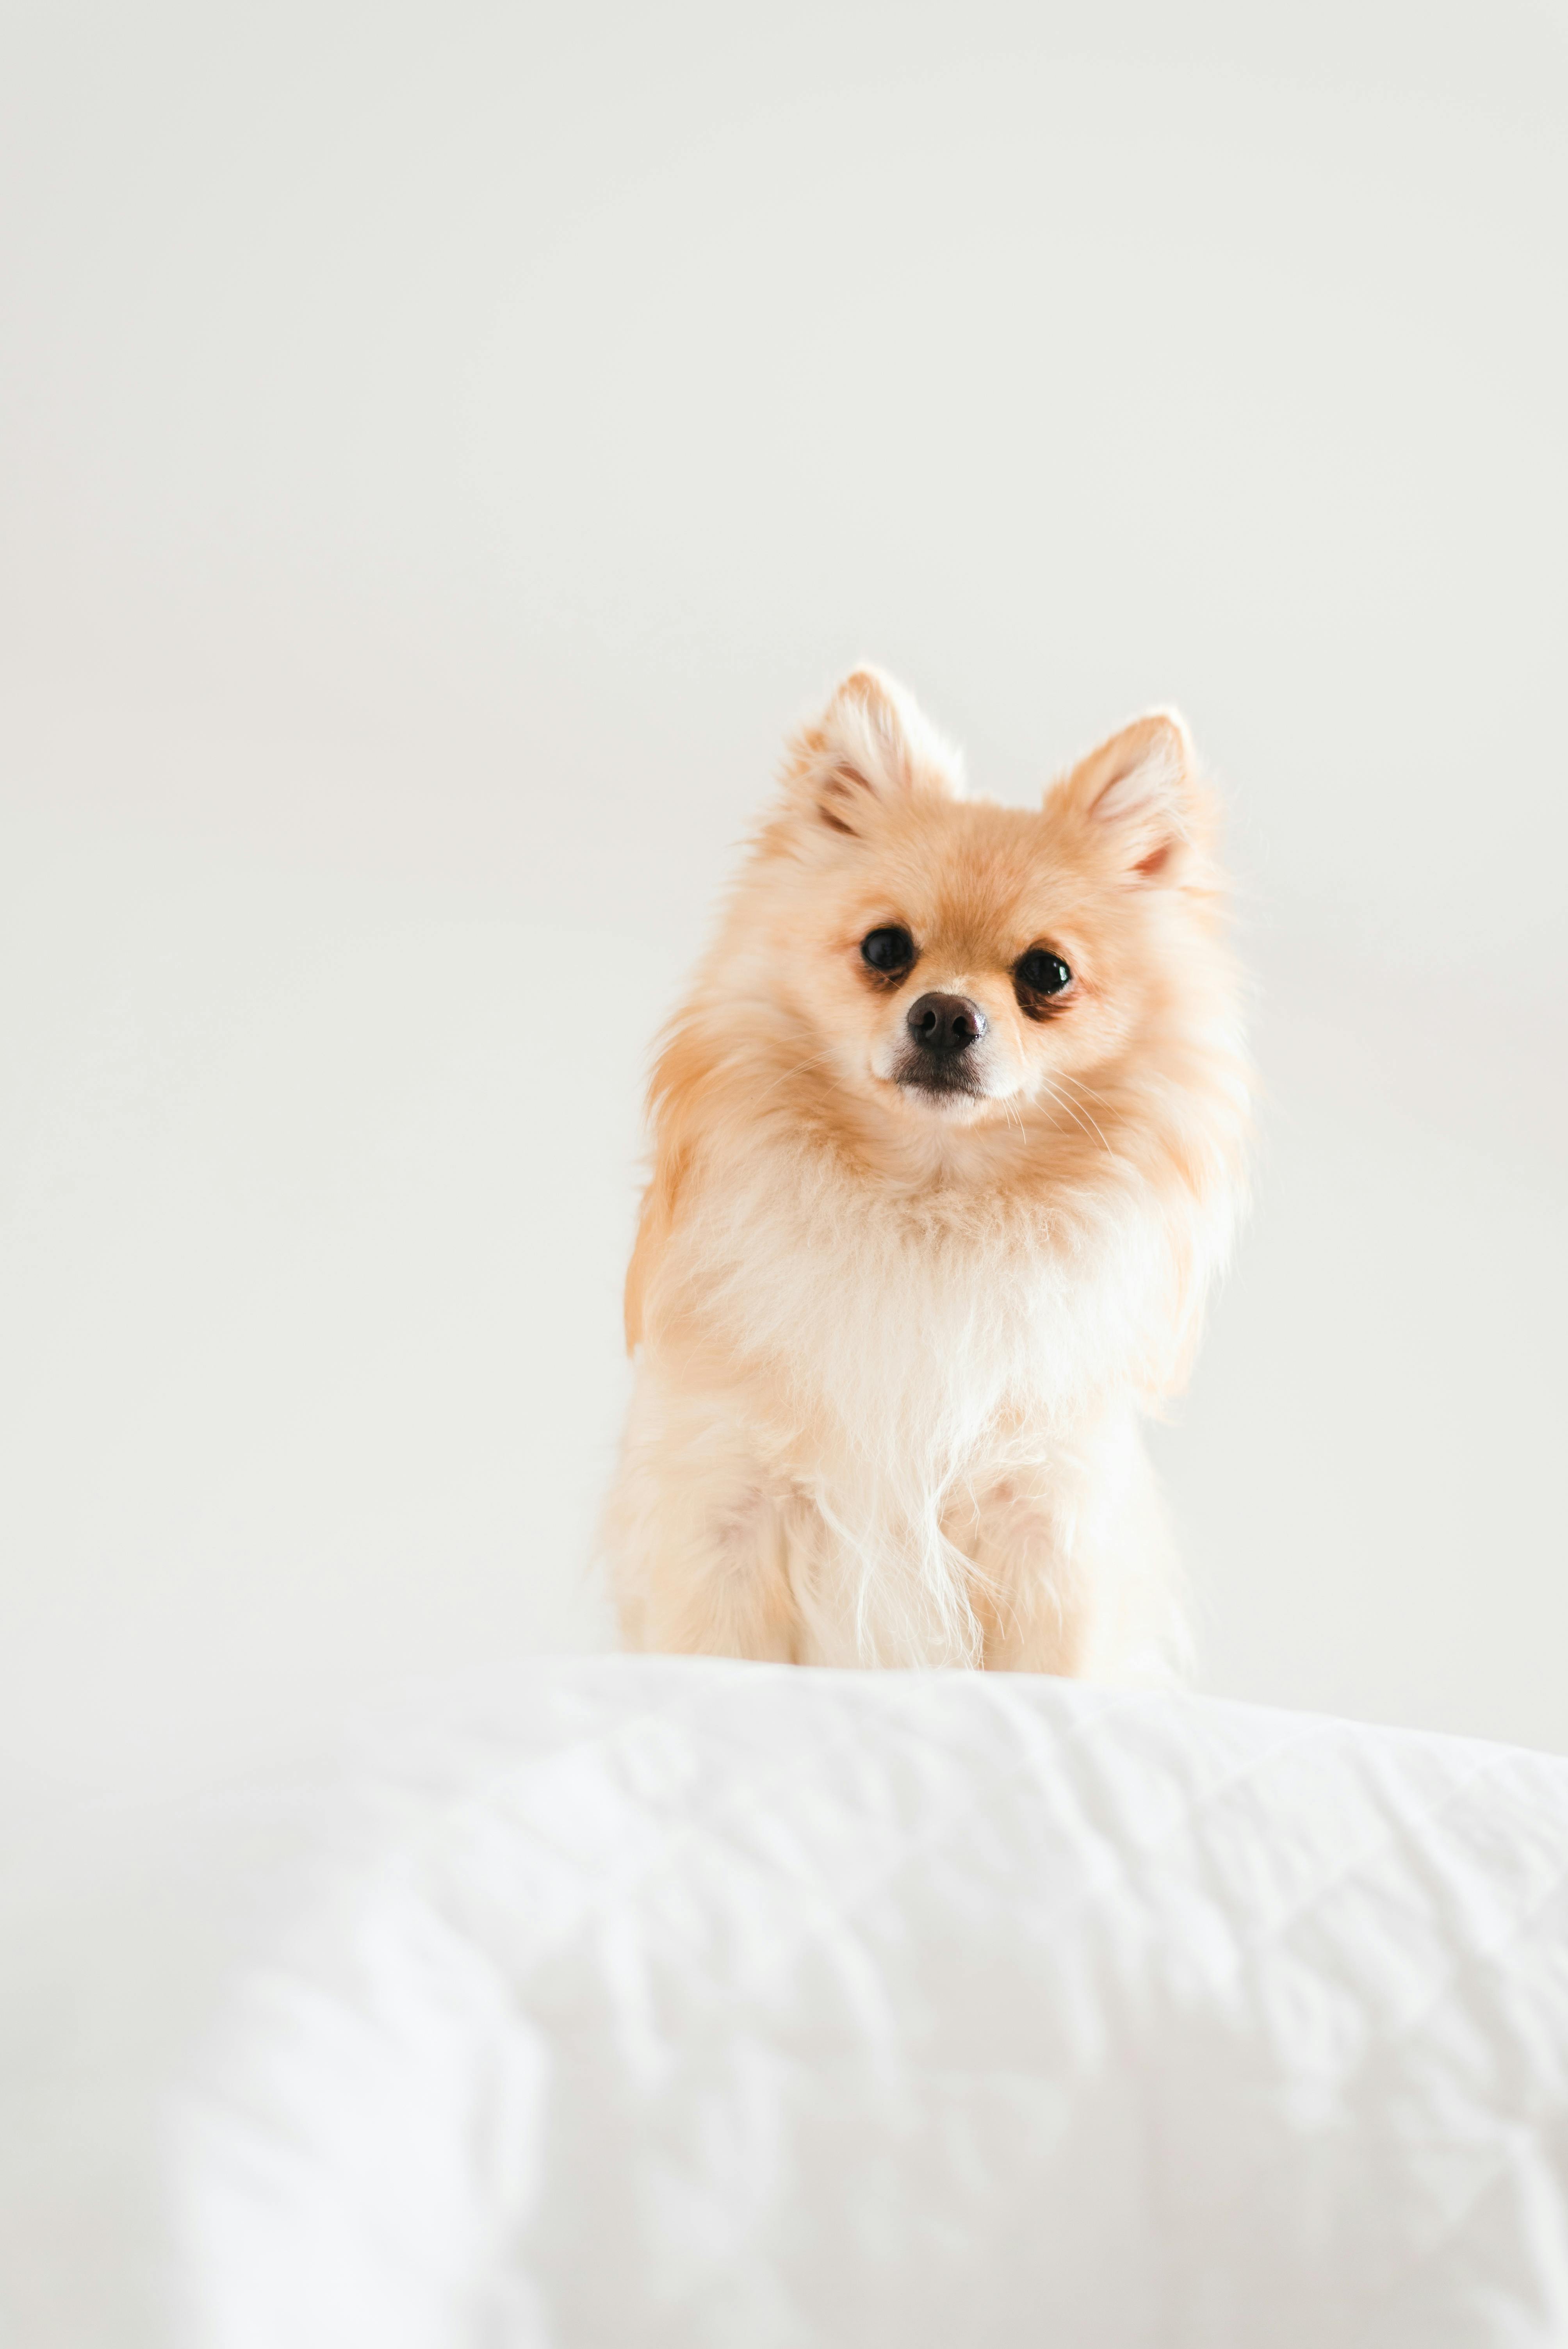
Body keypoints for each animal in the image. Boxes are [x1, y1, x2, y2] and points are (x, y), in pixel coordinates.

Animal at [601, 672, 1249, 1682]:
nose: (944, 1015)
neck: (928, 1207)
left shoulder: (1042, 1526)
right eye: (883, 950)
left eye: (1047, 973)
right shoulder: (721, 1509)